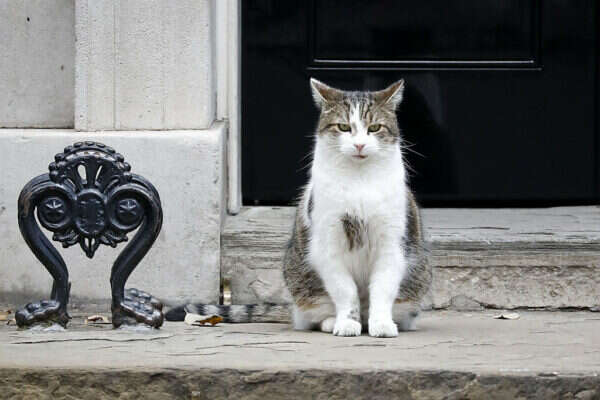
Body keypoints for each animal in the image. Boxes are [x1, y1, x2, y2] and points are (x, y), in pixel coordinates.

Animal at [166, 78, 431, 337]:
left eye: (374, 128)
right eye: (343, 127)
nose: (359, 145)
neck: (359, 181)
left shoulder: (392, 244)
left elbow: (383, 289)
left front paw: (382, 324)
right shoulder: (327, 243)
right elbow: (345, 291)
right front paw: (346, 323)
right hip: (301, 280)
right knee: (311, 316)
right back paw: (332, 322)